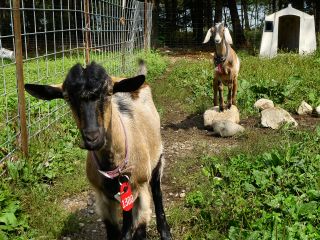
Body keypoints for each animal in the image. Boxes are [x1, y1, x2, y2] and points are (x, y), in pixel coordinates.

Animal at [24, 60, 171, 240]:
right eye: (67, 98)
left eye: (108, 92)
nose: (92, 138)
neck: (114, 167)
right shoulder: (102, 197)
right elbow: (115, 231)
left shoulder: (140, 190)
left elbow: (137, 231)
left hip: (157, 157)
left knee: (157, 191)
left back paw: (165, 232)